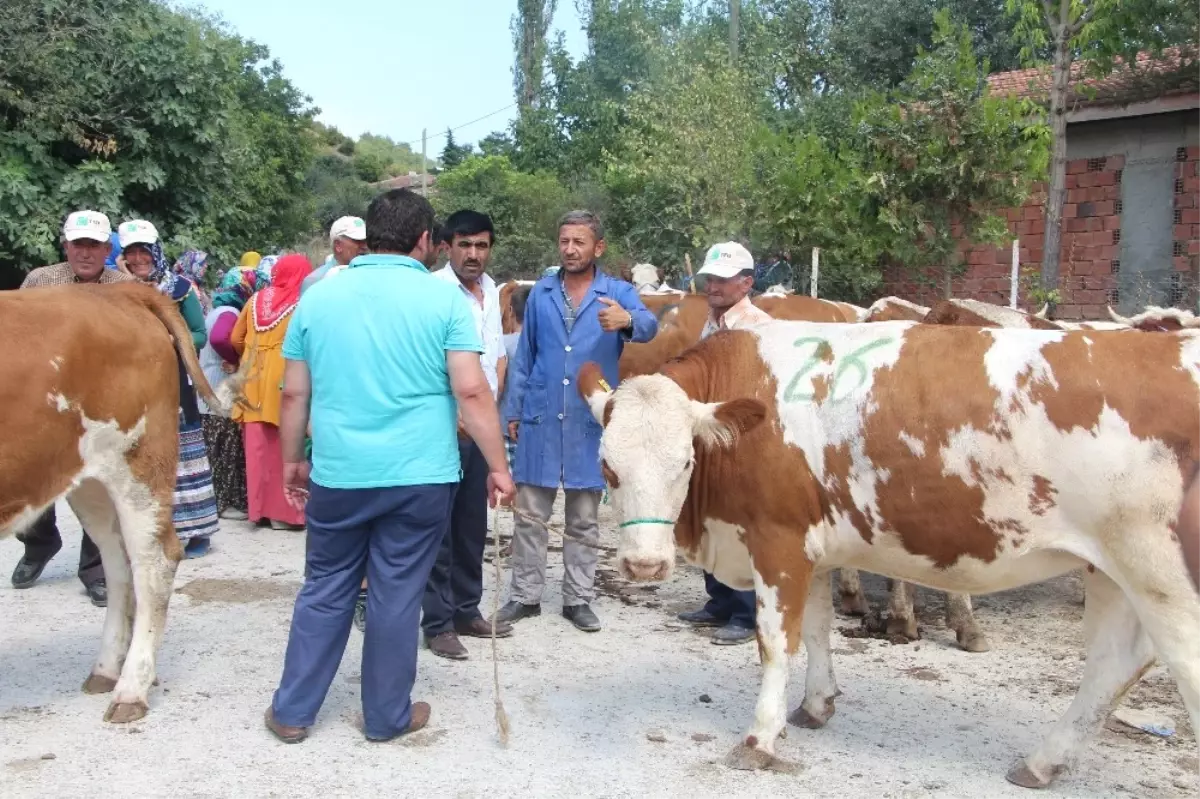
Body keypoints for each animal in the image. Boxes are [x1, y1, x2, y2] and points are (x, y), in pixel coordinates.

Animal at [0, 281, 231, 719]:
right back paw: (107, 670)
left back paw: (131, 688)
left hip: (138, 464)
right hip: (89, 480)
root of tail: (120, 290)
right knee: (116, 562)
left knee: (153, 561)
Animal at [576, 321, 1200, 787]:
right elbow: (820, 630)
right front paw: (816, 706)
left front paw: (760, 738)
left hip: (1161, 574)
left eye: (685, 461)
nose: (644, 566)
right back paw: (1042, 763)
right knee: (1115, 662)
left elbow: (776, 643)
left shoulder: (777, 539)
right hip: (1114, 570)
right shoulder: (816, 546)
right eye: (608, 466)